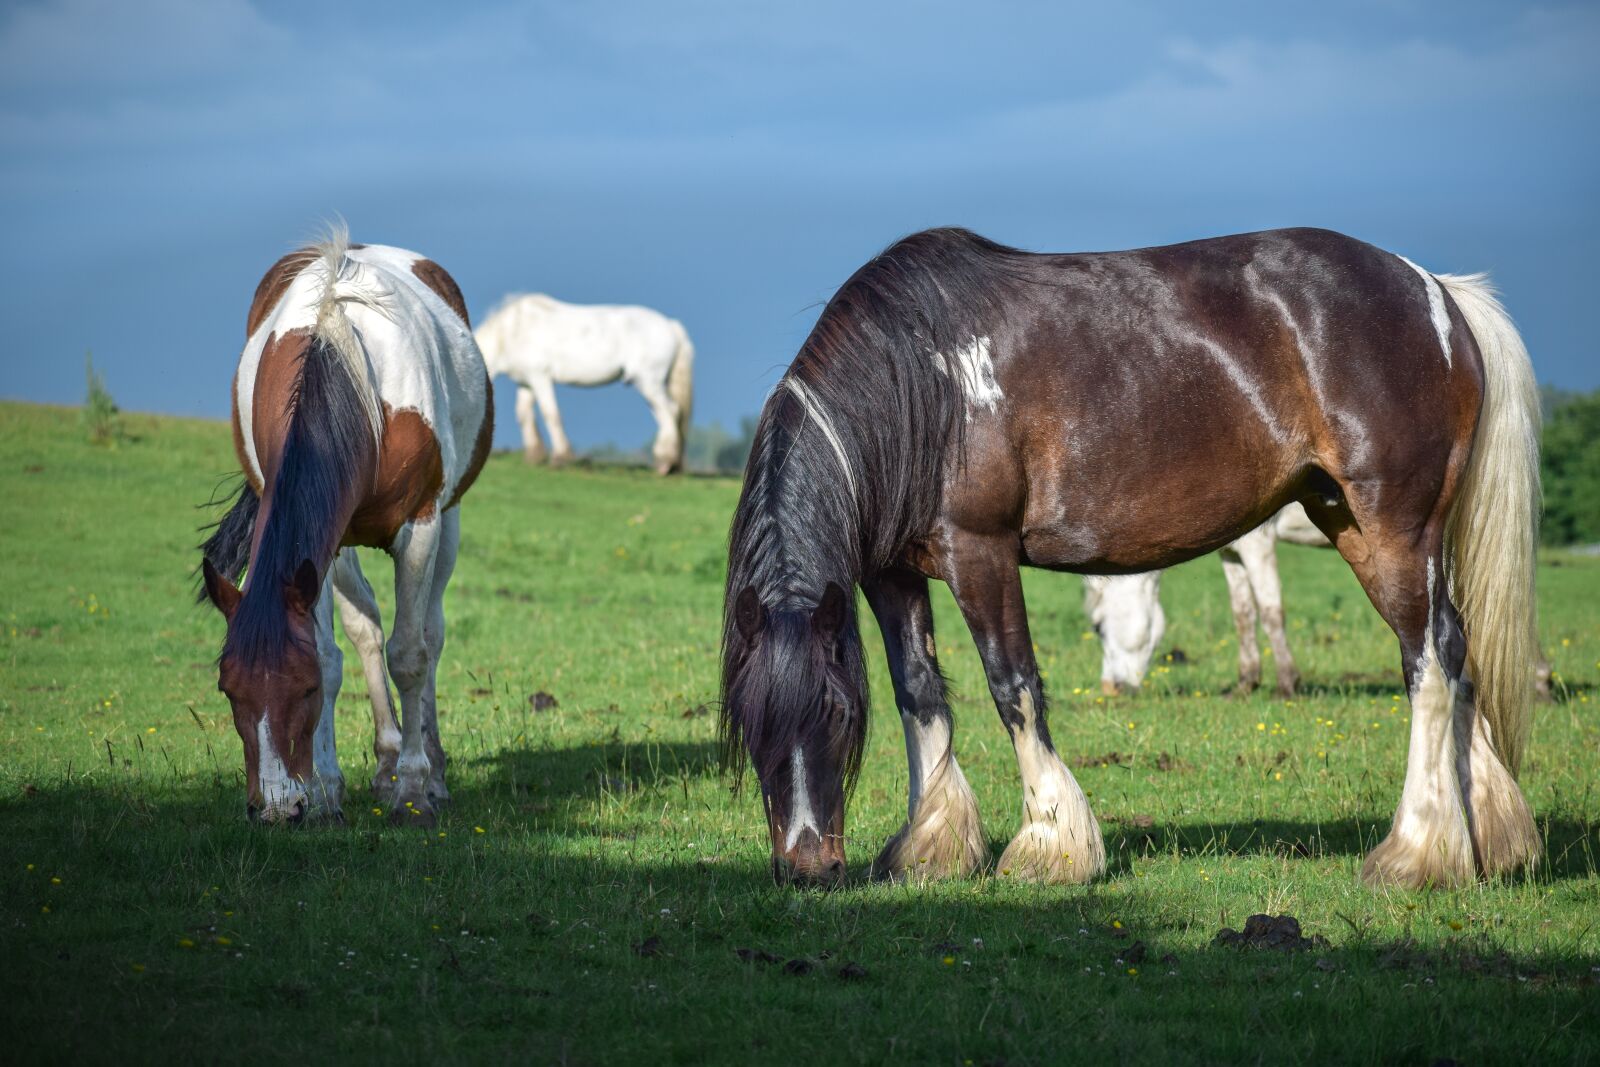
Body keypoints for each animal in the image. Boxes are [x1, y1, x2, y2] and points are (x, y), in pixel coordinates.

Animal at [199, 230, 492, 827]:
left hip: (447, 523)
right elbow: (335, 653)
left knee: (430, 635)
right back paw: (384, 763)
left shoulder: (421, 525)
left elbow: (410, 656)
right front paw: (326, 791)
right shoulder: (320, 551)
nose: (276, 809)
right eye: (227, 689)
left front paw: (414, 791)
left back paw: (430, 771)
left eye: (303, 689)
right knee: (367, 631)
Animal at [473, 294, 694, 475]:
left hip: (648, 382)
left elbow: (550, 414)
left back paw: (665, 463)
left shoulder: (540, 378)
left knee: (669, 413)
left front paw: (560, 457)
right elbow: (524, 415)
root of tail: (671, 326)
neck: (511, 331)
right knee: (667, 415)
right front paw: (535, 456)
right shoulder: (526, 382)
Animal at [720, 226, 1540, 891]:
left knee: (1427, 663)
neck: (922, 381)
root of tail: (1436, 292)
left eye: (833, 713)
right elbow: (918, 693)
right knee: (1456, 650)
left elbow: (1013, 686)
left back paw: (1418, 852)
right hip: (1351, 523)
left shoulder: (978, 551)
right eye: (752, 719)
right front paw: (930, 848)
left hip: (1396, 527)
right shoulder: (892, 573)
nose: (808, 867)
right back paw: (1491, 837)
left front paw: (1050, 846)